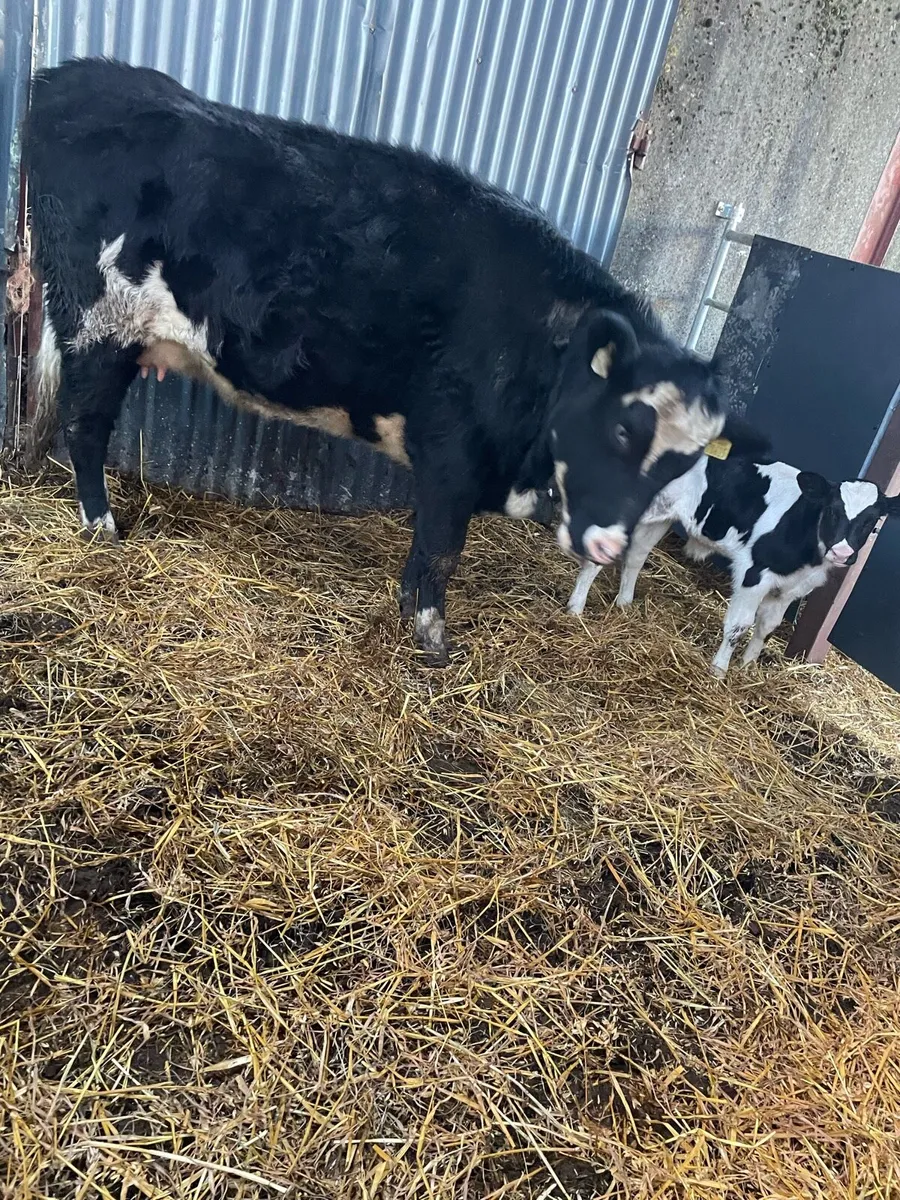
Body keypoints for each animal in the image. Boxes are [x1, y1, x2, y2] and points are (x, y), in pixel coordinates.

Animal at [24, 57, 732, 664]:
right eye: (622, 427)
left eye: (684, 462)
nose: (610, 544)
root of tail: (70, 78)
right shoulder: (452, 454)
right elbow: (440, 552)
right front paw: (431, 638)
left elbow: (425, 553)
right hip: (100, 324)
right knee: (85, 429)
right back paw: (101, 528)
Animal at [566, 449, 900, 677]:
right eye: (832, 510)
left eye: (873, 521)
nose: (843, 553)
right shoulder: (755, 573)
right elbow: (740, 625)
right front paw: (719, 669)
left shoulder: (792, 589)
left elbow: (767, 626)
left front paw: (747, 667)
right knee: (597, 556)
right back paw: (575, 608)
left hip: (660, 516)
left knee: (637, 555)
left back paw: (624, 603)